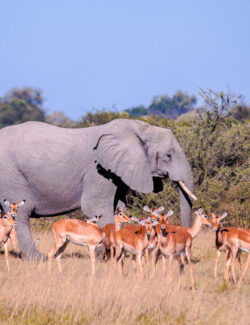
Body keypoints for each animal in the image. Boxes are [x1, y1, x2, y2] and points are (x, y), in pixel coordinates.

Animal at [0, 119, 195, 258]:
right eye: (168, 155)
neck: (140, 128)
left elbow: (119, 208)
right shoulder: (98, 171)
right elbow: (96, 207)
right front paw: (107, 256)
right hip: (10, 175)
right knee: (21, 212)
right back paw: (37, 258)